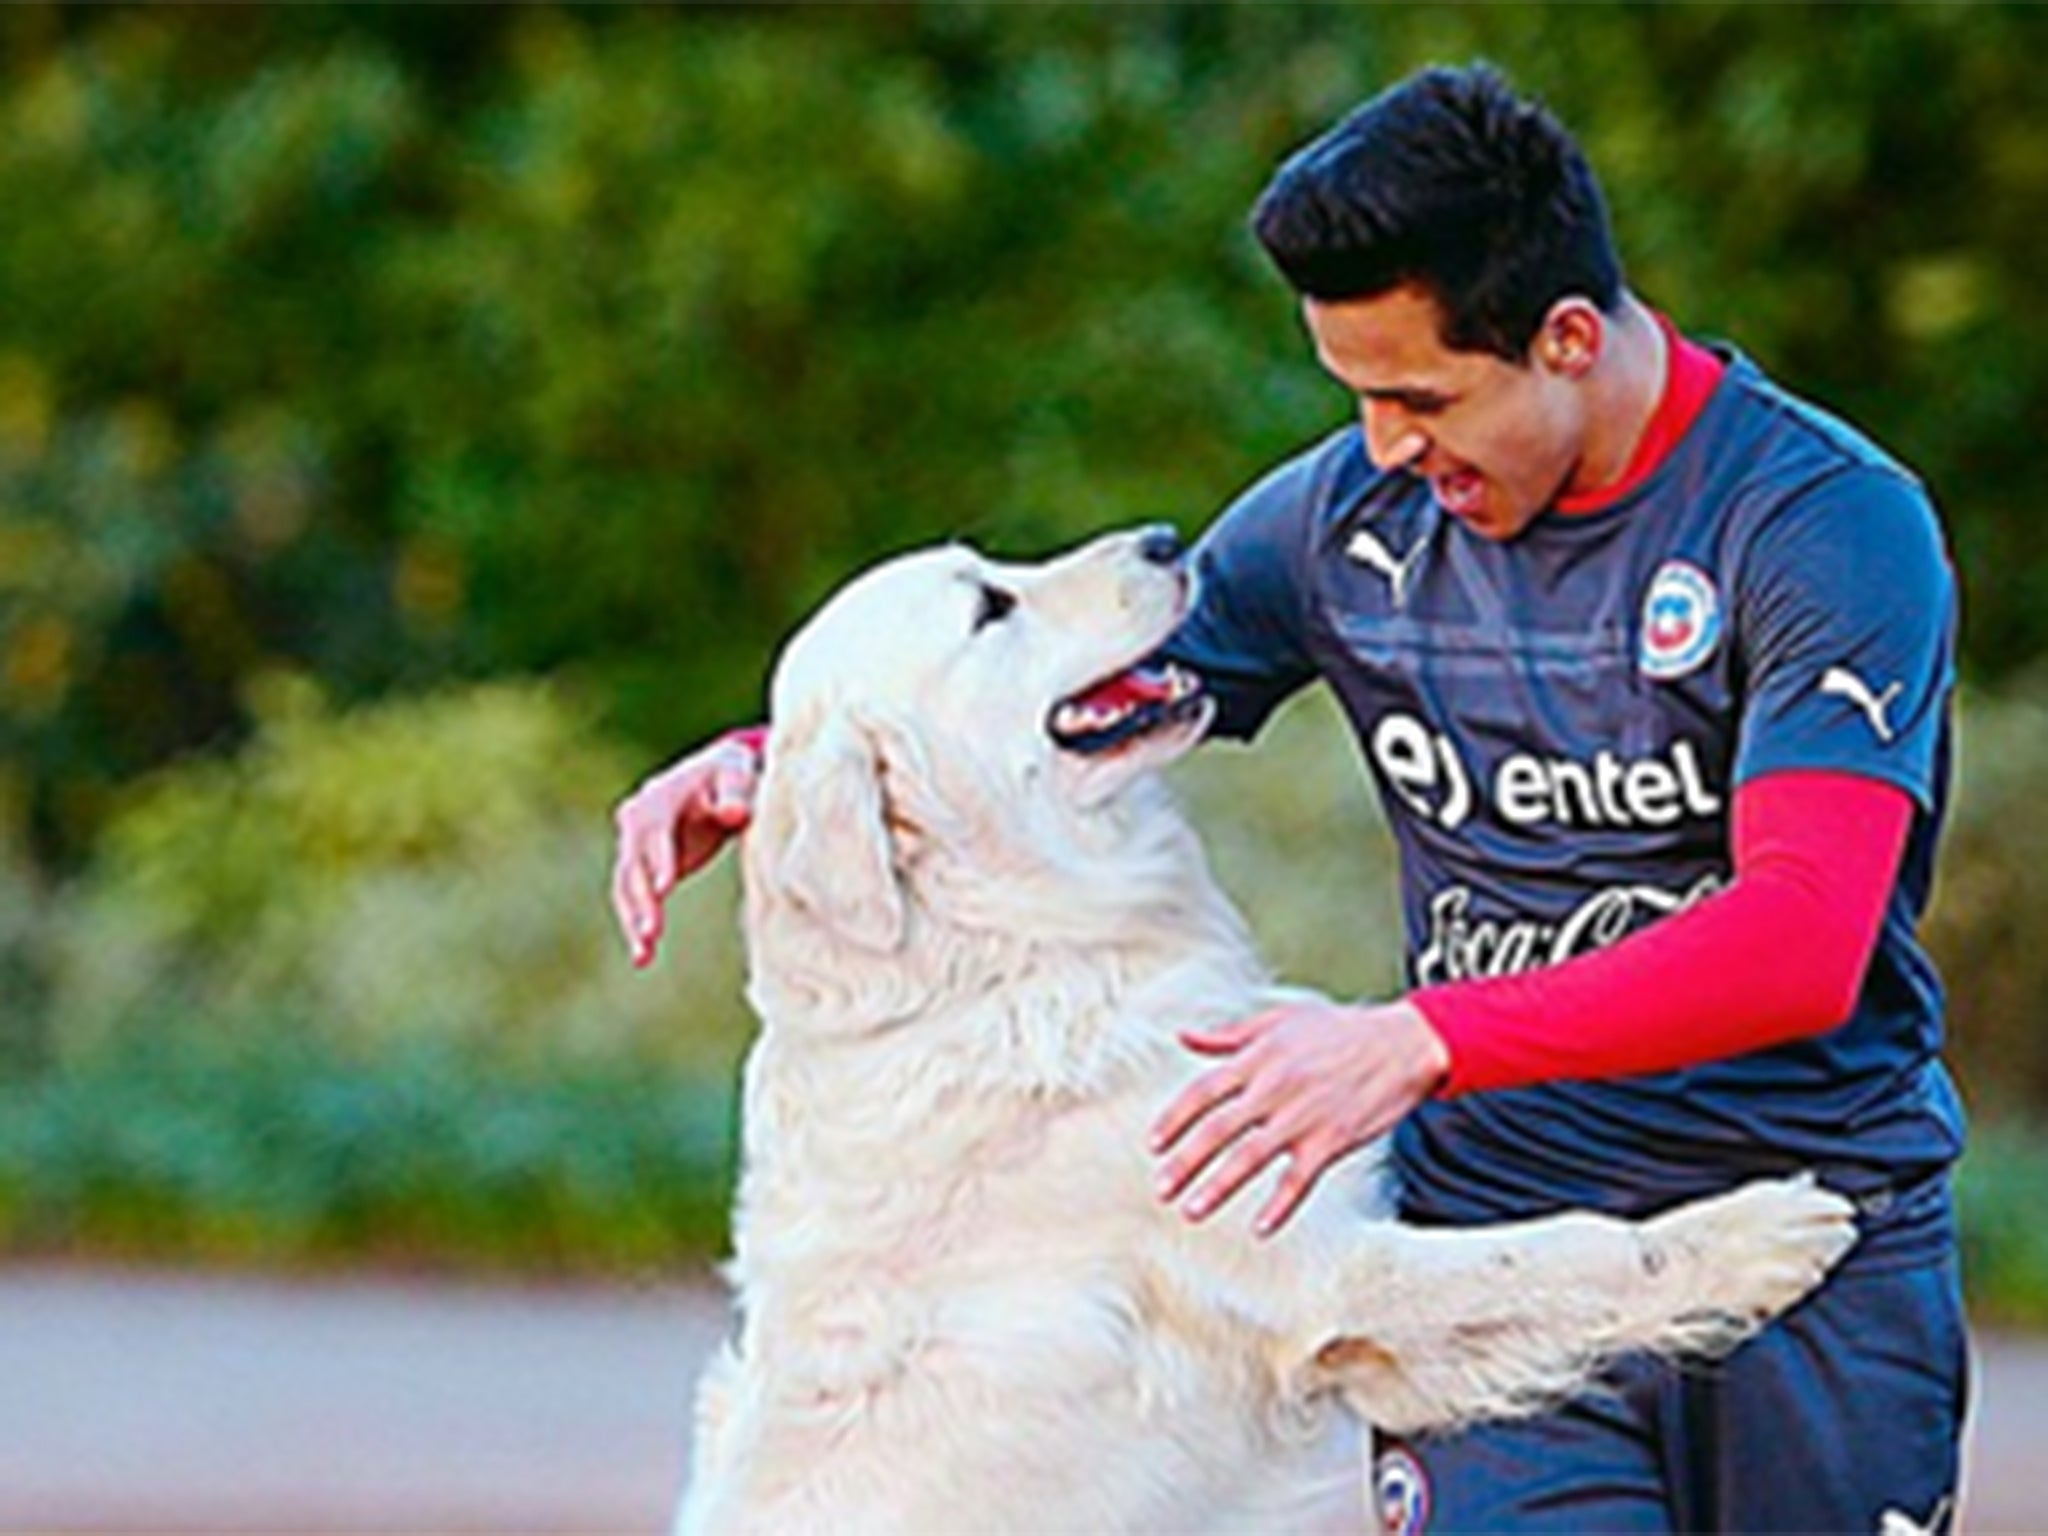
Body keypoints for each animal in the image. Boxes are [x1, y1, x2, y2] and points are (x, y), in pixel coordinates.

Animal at [679, 528, 1867, 1536]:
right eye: (990, 608)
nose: (1167, 542)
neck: (1001, 956)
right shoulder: (1326, 1275)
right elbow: (1566, 1249)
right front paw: (1760, 1233)